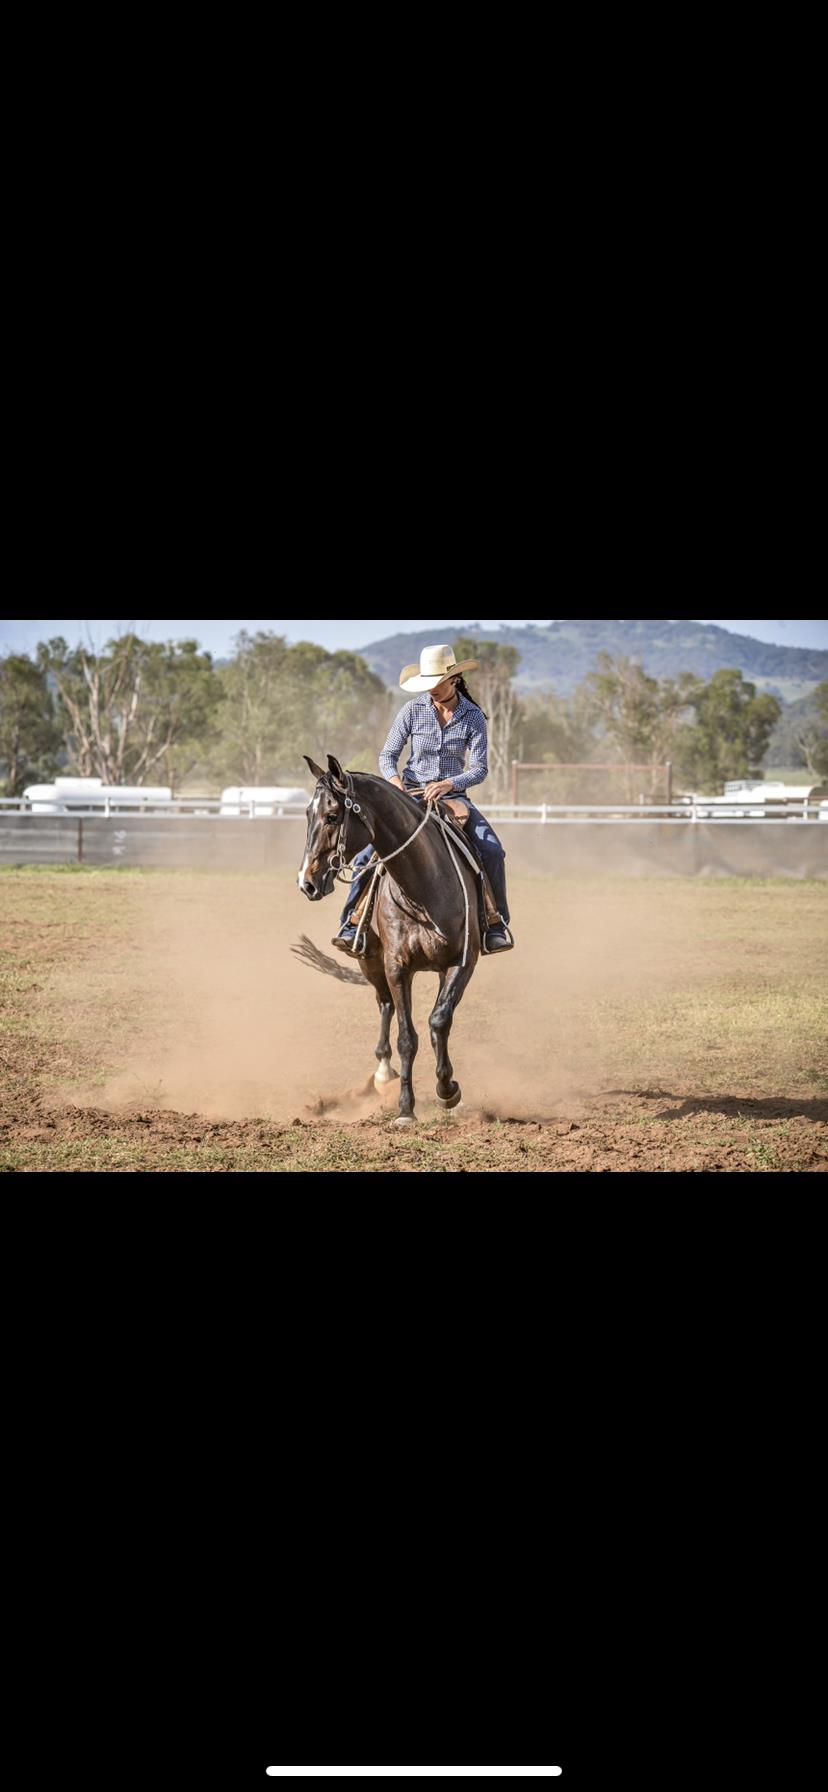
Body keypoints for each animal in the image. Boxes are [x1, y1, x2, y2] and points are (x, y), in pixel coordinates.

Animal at [294, 755, 483, 1126]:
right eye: (308, 814)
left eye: (332, 816)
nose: (306, 881)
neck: (422, 888)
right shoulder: (396, 967)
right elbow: (406, 1036)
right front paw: (406, 1109)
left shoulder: (461, 963)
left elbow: (439, 1021)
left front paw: (448, 1090)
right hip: (370, 959)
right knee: (384, 1005)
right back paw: (383, 1074)